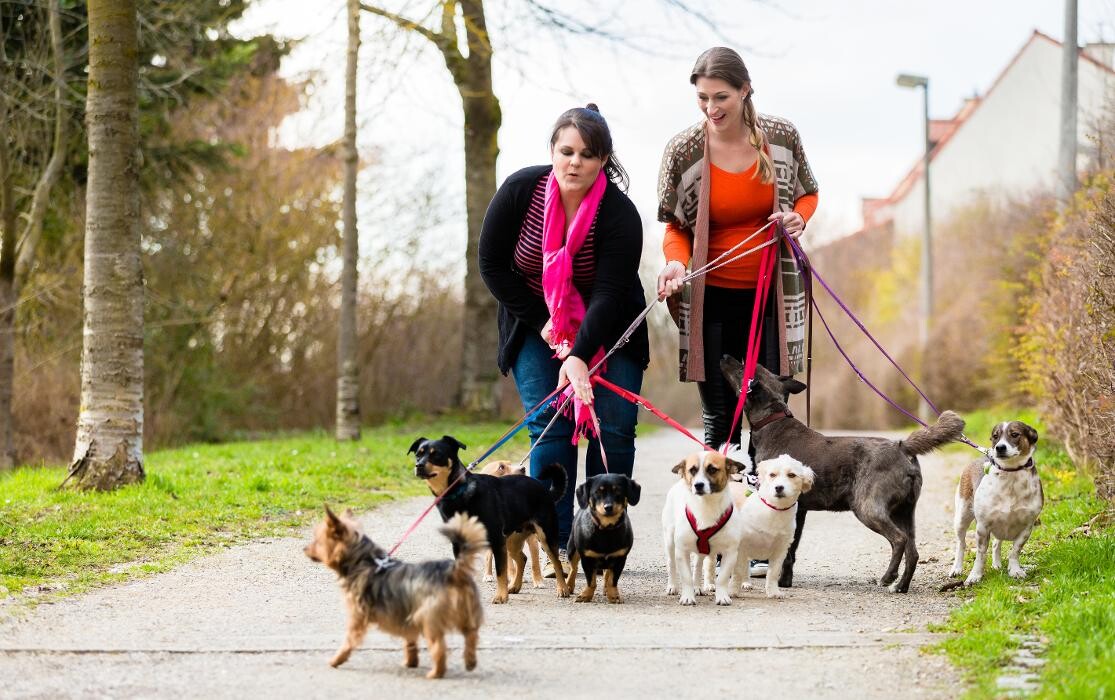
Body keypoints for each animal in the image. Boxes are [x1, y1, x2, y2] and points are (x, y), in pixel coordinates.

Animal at [408, 434, 570, 606]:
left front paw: (500, 596)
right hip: (512, 539)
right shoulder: (459, 543)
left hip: (545, 536)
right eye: (418, 454)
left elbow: (501, 572)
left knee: (556, 563)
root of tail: (546, 491)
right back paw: (515, 586)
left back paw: (563, 589)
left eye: (437, 454)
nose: (418, 465)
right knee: (522, 559)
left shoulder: (496, 540)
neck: (460, 492)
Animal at [566, 472, 646, 606]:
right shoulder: (587, 559)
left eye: (618, 490)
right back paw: (568, 586)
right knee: (573, 568)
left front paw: (613, 595)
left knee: (607, 573)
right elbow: (591, 581)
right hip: (572, 549)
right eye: (598, 492)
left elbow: (612, 580)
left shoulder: (620, 559)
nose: (608, 507)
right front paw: (586, 595)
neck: (606, 529)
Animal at [718, 358, 963, 592]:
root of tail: (902, 447)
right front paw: (785, 581)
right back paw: (901, 586)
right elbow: (791, 550)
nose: (725, 356)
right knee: (913, 552)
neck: (773, 421)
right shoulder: (800, 510)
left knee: (898, 540)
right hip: (905, 512)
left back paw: (888, 577)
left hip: (868, 508)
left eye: (742, 368)